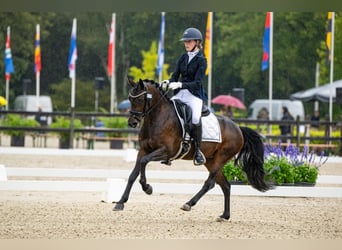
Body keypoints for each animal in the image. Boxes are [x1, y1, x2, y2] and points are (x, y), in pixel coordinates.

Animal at [113, 78, 272, 221]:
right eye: (130, 99)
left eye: (140, 99)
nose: (132, 123)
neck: (157, 118)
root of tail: (238, 128)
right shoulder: (143, 150)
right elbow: (133, 174)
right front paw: (120, 203)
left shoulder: (166, 151)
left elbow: (144, 162)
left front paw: (147, 188)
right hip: (211, 161)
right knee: (225, 185)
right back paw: (225, 216)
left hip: (221, 158)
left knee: (210, 183)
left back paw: (189, 204)